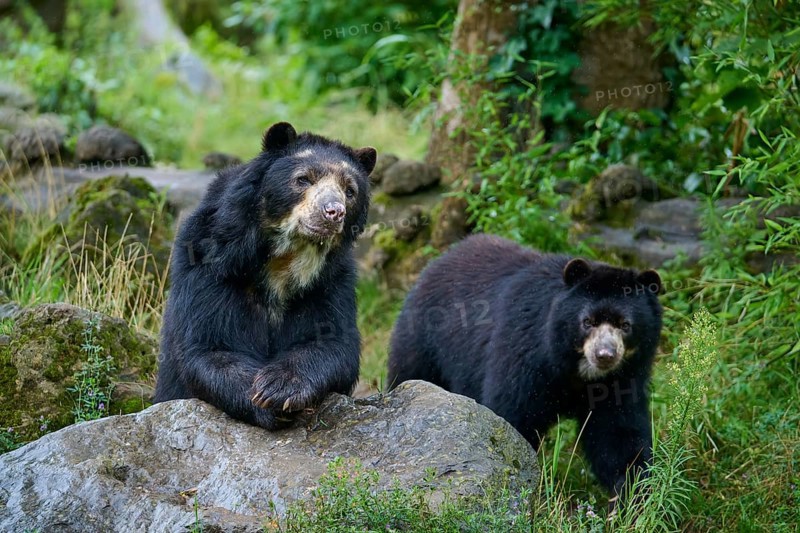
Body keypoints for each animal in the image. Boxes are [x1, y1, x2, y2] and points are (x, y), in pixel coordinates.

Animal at [154, 122, 376, 430]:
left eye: (350, 190)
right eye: (303, 179)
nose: (333, 212)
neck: (284, 260)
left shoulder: (330, 281)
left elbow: (332, 341)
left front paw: (279, 388)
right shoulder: (210, 264)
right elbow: (210, 345)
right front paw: (263, 398)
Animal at [387, 234, 662, 499]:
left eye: (625, 325)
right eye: (588, 321)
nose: (605, 355)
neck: (576, 371)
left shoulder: (622, 378)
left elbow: (618, 434)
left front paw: (635, 493)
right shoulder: (525, 356)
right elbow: (512, 415)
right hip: (425, 344)